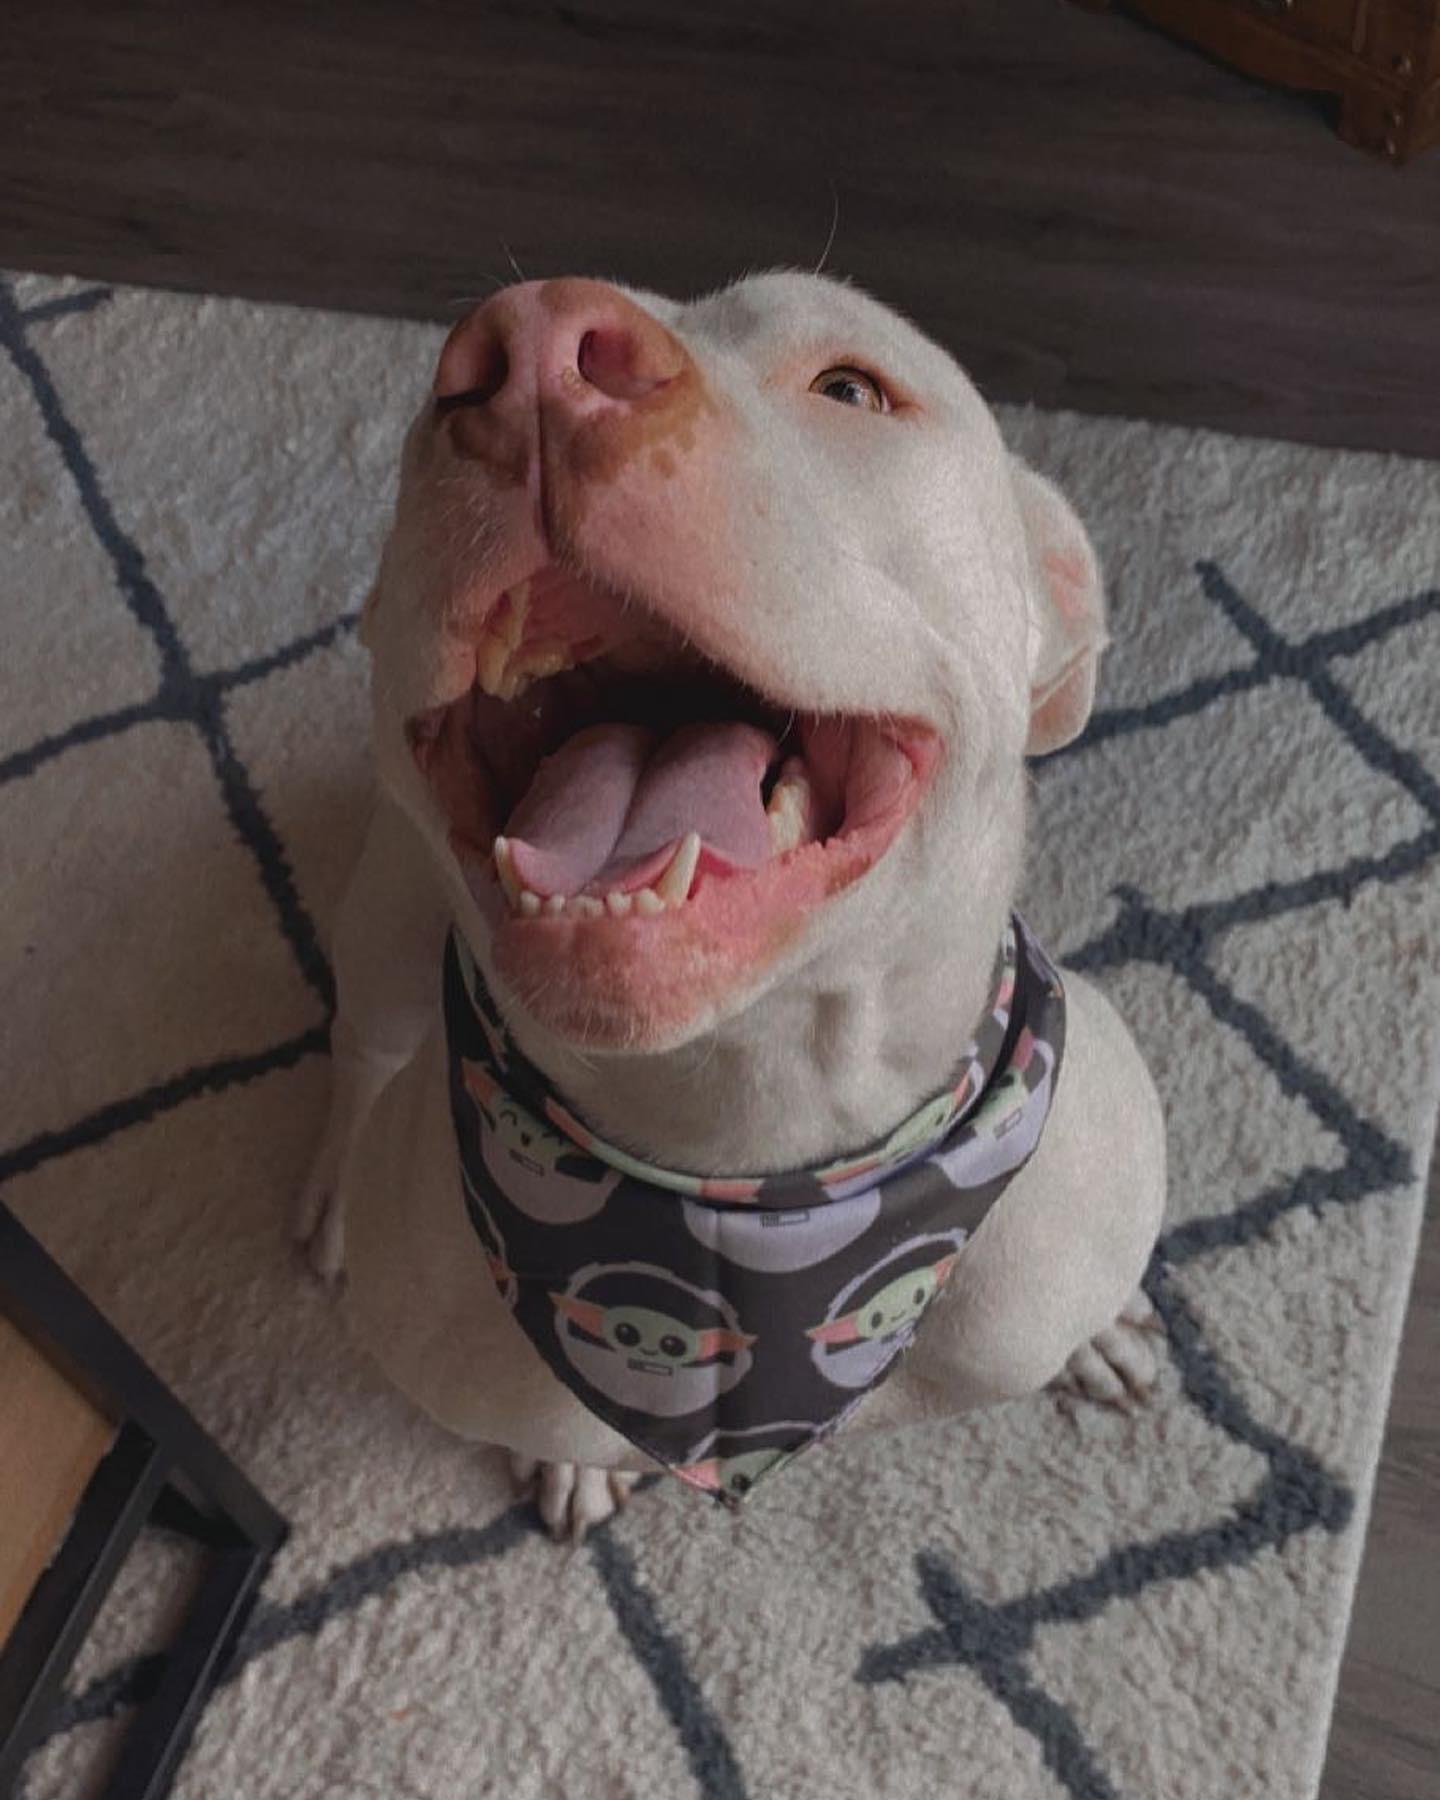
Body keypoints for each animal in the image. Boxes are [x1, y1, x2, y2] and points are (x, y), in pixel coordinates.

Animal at [298, 273, 1166, 1540]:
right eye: (447, 386)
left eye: (851, 388)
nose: (534, 344)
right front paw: (573, 1466)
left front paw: (1101, 1334)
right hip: (386, 921)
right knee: (362, 1048)